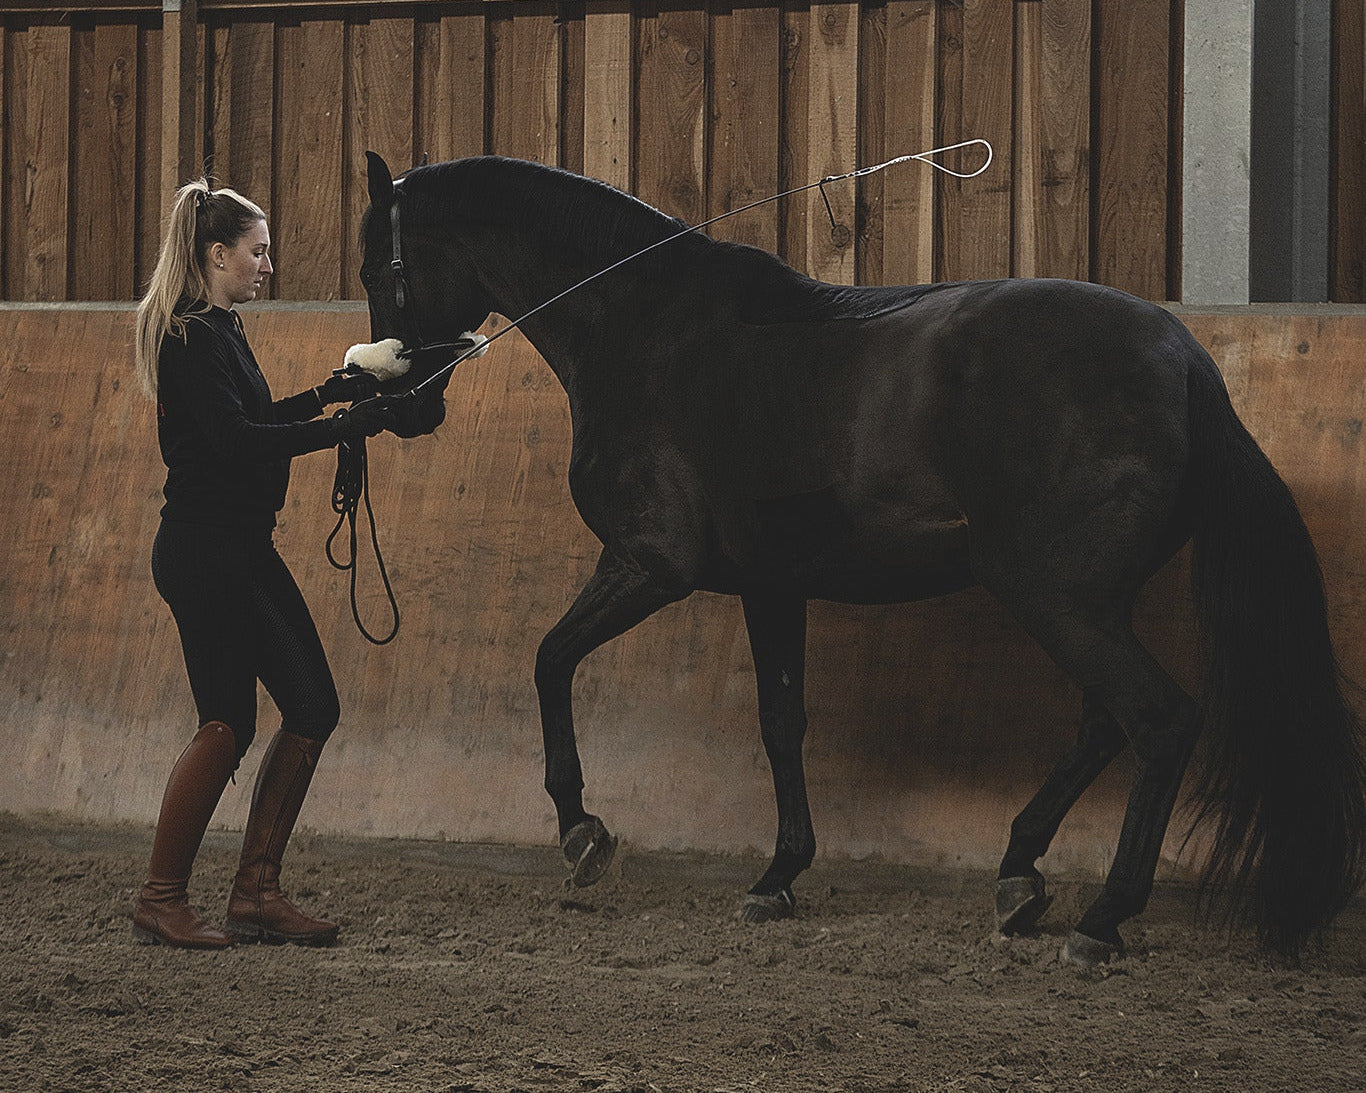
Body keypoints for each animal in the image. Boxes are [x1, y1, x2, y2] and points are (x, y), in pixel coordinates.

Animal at [354, 150, 1365, 966]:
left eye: (379, 267)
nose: (405, 409)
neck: (647, 332)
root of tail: (1185, 358)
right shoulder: (771, 585)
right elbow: (781, 722)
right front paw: (778, 876)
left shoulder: (650, 564)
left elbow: (549, 659)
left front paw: (581, 831)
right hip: (1083, 599)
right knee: (1104, 724)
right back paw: (1019, 875)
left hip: (1055, 596)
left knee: (1157, 721)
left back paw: (1100, 918)